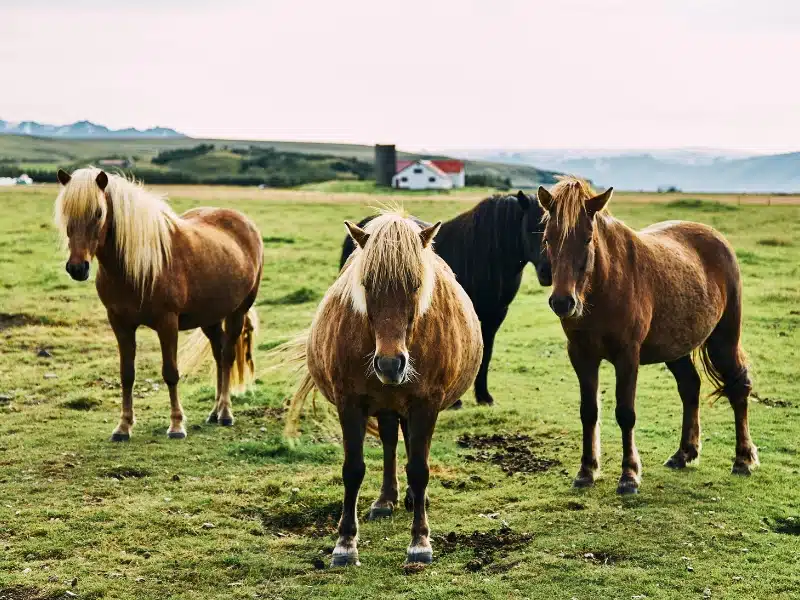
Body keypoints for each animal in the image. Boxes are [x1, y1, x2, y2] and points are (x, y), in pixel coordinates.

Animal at [54, 169, 266, 440]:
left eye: (99, 213)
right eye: (65, 212)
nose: (77, 268)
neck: (136, 267)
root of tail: (245, 223)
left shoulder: (167, 323)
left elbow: (170, 373)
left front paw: (176, 425)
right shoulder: (120, 323)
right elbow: (127, 374)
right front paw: (123, 426)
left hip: (237, 312)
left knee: (227, 355)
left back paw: (226, 413)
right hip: (210, 317)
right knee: (218, 354)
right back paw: (215, 411)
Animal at [282, 212, 478, 568]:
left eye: (415, 285)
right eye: (366, 285)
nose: (390, 364)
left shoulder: (425, 404)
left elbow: (419, 469)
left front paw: (420, 541)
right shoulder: (349, 404)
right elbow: (353, 469)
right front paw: (345, 543)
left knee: (409, 445)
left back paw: (412, 499)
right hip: (387, 407)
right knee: (390, 441)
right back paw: (386, 500)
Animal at [338, 192, 552, 408]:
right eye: (533, 229)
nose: (547, 273)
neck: (484, 256)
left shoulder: (495, 316)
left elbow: (486, 354)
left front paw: (484, 396)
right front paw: (455, 402)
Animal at [536, 178, 756, 496]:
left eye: (588, 239)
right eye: (548, 239)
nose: (563, 302)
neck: (603, 286)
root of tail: (717, 238)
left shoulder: (628, 356)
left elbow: (626, 413)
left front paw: (629, 475)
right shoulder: (581, 355)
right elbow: (588, 412)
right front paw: (586, 471)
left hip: (723, 340)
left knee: (739, 387)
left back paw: (743, 459)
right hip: (676, 348)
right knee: (690, 387)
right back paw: (684, 453)